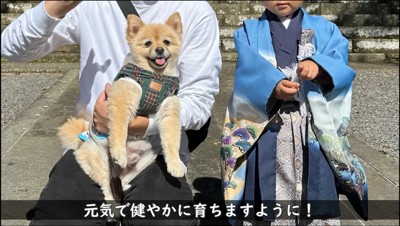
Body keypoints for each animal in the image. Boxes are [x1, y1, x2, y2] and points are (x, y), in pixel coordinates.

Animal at [57, 11, 184, 201]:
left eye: (167, 42)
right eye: (148, 43)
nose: (160, 49)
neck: (156, 77)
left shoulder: (169, 110)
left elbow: (171, 141)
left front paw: (175, 165)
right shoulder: (122, 101)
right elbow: (119, 129)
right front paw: (118, 152)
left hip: (146, 159)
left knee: (121, 181)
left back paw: (123, 184)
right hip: (100, 159)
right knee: (106, 187)